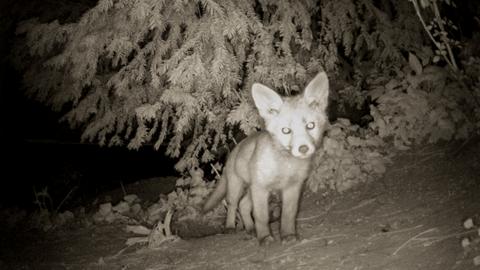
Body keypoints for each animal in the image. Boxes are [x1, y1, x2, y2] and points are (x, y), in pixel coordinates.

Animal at [202, 71, 330, 245]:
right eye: (286, 130)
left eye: (310, 126)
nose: (303, 148)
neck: (285, 167)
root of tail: (236, 148)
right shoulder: (261, 188)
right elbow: (261, 216)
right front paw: (264, 237)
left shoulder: (292, 188)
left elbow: (288, 215)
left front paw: (288, 235)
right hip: (237, 186)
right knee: (233, 204)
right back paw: (230, 227)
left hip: (250, 189)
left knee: (243, 205)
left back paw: (250, 229)